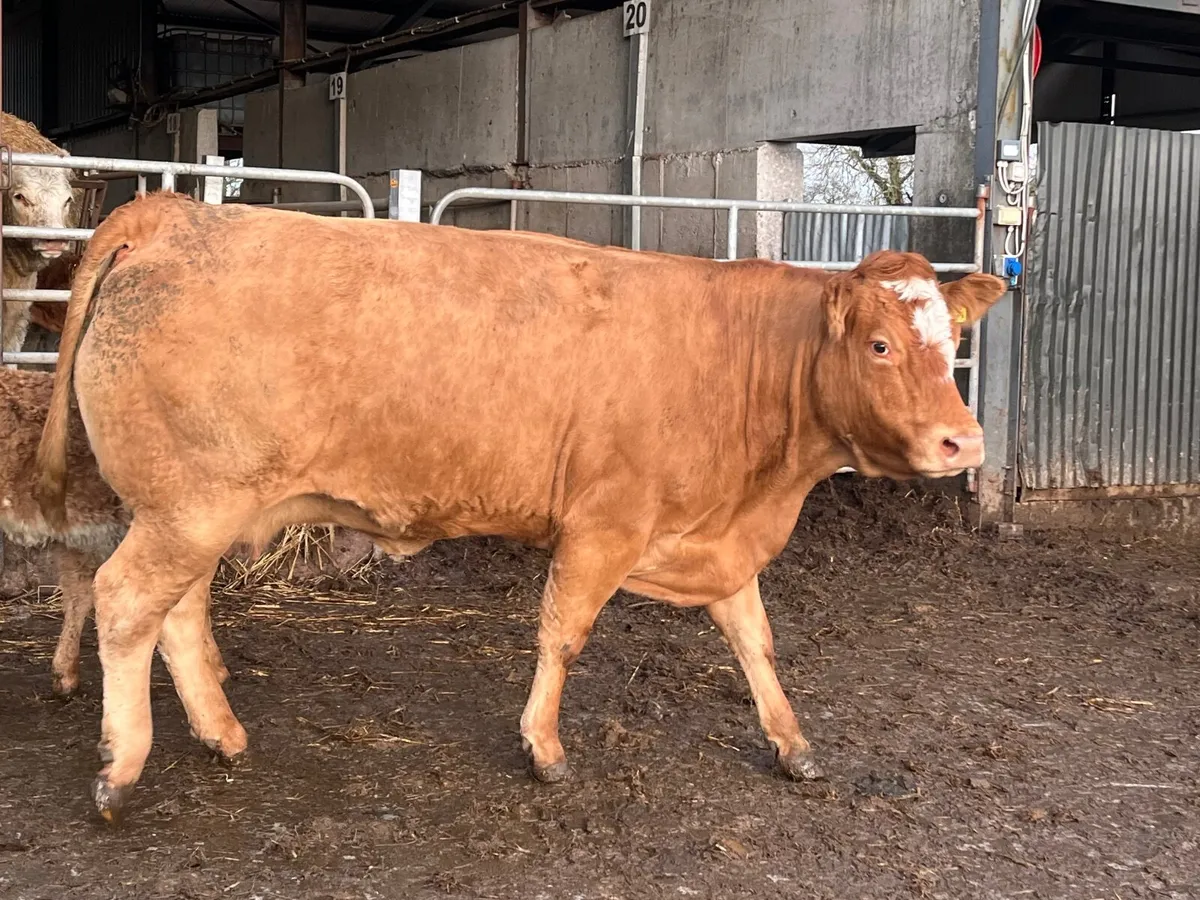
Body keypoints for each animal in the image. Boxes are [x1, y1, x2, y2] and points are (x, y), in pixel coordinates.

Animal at [34, 192, 1006, 823]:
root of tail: (176, 211)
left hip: (196, 511)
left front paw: (792, 743)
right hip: (189, 507)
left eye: (953, 338)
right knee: (127, 603)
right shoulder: (604, 526)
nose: (964, 443)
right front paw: (544, 748)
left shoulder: (717, 537)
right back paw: (123, 767)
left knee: (177, 612)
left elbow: (755, 641)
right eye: (879, 345)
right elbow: (563, 634)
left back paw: (222, 734)